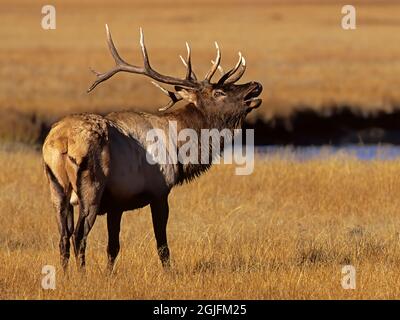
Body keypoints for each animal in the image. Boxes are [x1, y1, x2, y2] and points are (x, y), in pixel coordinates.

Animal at [43, 24, 262, 272]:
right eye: (219, 92)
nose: (255, 85)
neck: (180, 152)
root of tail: (62, 142)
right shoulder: (159, 191)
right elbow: (162, 246)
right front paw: (169, 274)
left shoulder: (117, 203)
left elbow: (113, 247)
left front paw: (109, 274)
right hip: (91, 187)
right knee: (78, 236)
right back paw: (82, 275)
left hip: (56, 189)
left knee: (63, 237)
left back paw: (66, 274)